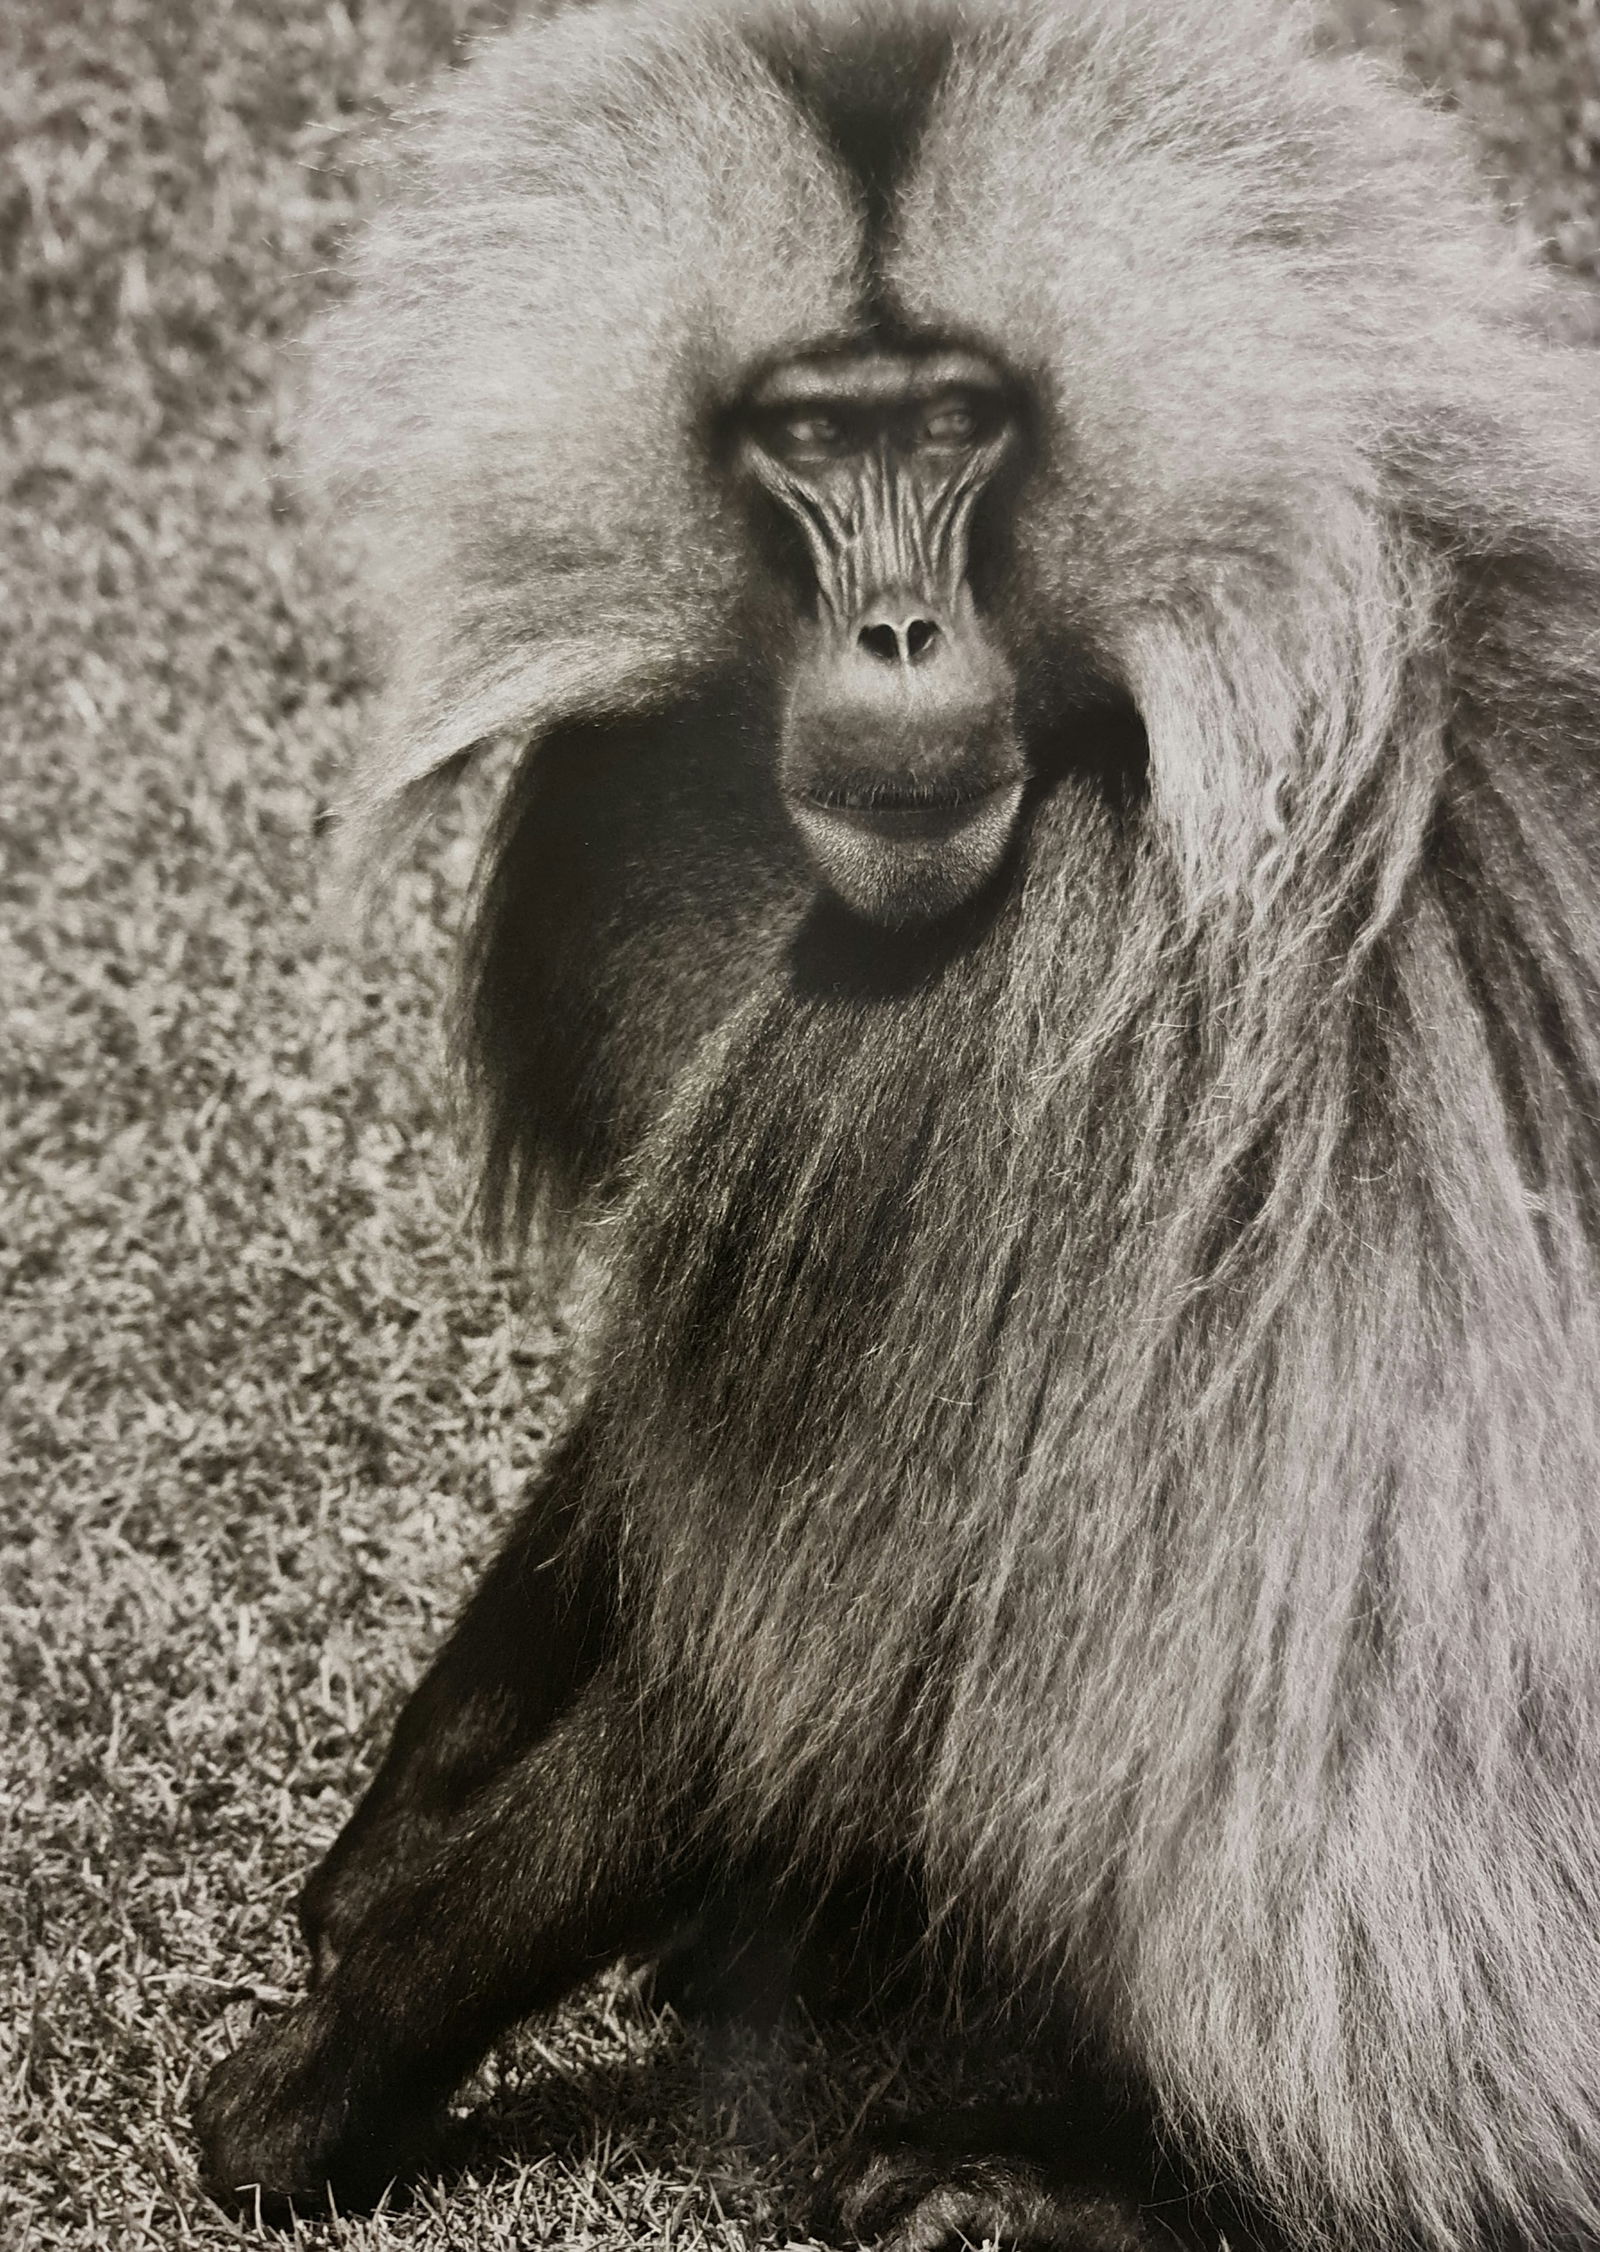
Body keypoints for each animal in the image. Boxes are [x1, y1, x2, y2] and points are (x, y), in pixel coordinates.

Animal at [193, 0, 1600, 2246]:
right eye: (809, 434)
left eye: (953, 427)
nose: (898, 639)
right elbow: (675, 1440)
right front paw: (391, 1837)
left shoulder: (993, 1037)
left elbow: (791, 1644)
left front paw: (333, 2067)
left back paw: (1077, 2179)